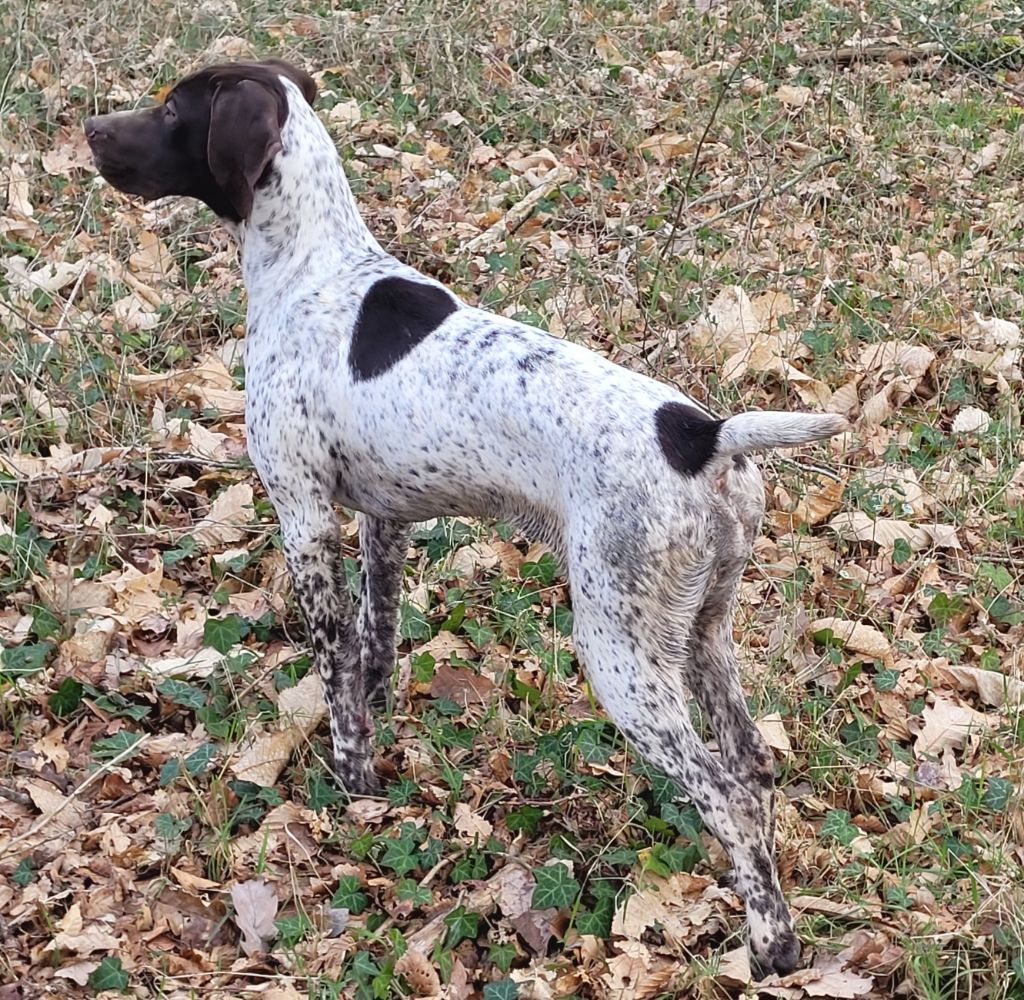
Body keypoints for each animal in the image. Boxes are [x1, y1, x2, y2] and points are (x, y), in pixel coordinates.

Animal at [83, 58, 843, 970]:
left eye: (170, 111)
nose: (89, 130)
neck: (312, 267)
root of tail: (703, 435)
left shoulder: (304, 515)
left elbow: (335, 670)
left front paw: (352, 784)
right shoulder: (383, 520)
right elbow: (373, 649)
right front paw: (377, 743)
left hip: (620, 653)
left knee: (727, 793)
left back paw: (772, 945)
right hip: (702, 631)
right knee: (752, 769)